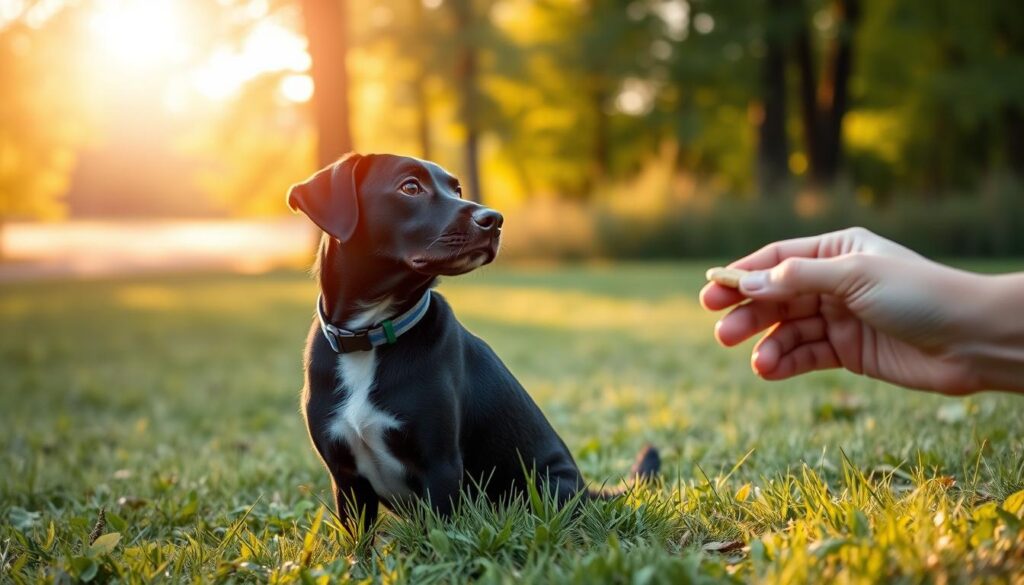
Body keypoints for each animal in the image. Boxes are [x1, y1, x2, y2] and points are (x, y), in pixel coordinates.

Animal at [288, 152, 659, 532]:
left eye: (457, 189)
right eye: (410, 187)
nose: (494, 219)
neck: (370, 335)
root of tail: (587, 489)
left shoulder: (440, 466)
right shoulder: (346, 478)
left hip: (549, 486)